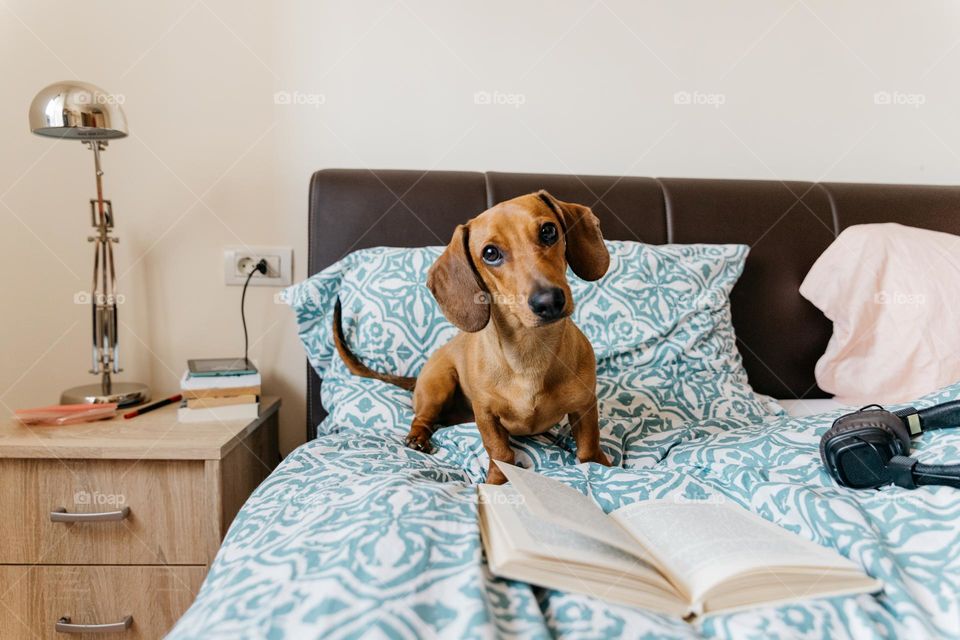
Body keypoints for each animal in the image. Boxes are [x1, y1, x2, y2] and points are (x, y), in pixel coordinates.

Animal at [334, 192, 612, 482]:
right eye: (490, 253)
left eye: (548, 231)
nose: (549, 301)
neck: (530, 351)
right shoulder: (486, 415)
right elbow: (500, 452)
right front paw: (498, 480)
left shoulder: (585, 406)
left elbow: (589, 445)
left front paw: (600, 465)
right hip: (438, 383)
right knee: (422, 418)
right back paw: (418, 438)